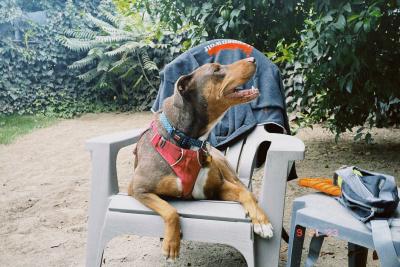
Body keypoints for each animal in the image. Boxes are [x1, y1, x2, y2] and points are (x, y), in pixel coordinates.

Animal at [130, 57, 274, 260]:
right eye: (216, 70)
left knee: (244, 187)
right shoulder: (138, 188)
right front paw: (171, 244)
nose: (253, 58)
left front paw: (262, 221)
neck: (186, 140)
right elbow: (170, 210)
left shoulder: (216, 188)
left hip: (224, 167)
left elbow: (245, 194)